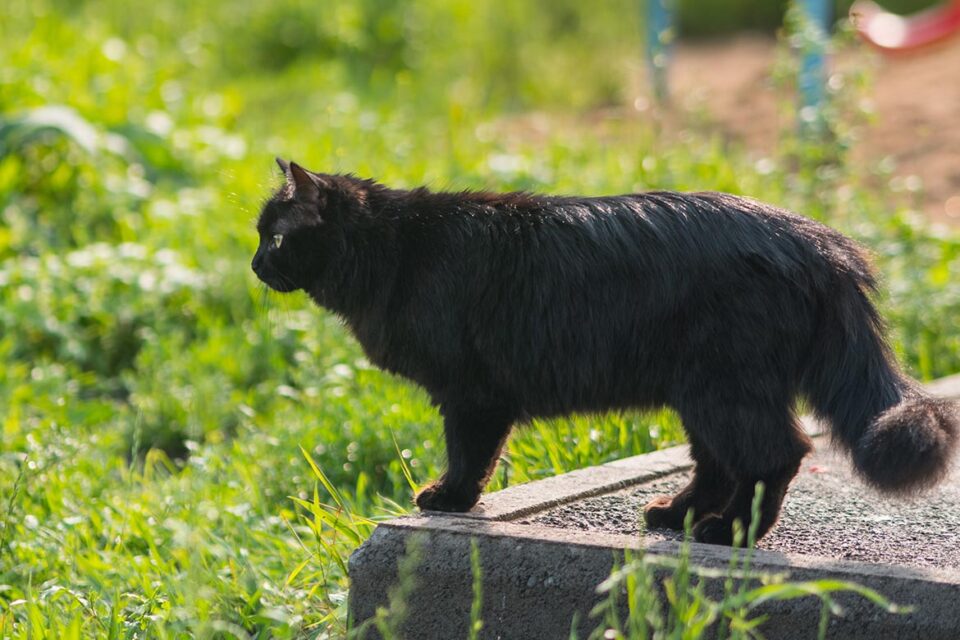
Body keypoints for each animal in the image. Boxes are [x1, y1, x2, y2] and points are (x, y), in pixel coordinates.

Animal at [251, 160, 956, 544]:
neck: (398, 249)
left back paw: (732, 534)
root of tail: (822, 244)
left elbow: (470, 455)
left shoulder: (471, 394)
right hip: (702, 390)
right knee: (717, 463)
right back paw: (676, 514)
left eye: (276, 239)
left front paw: (450, 499)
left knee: (776, 455)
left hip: (723, 386)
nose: (255, 265)